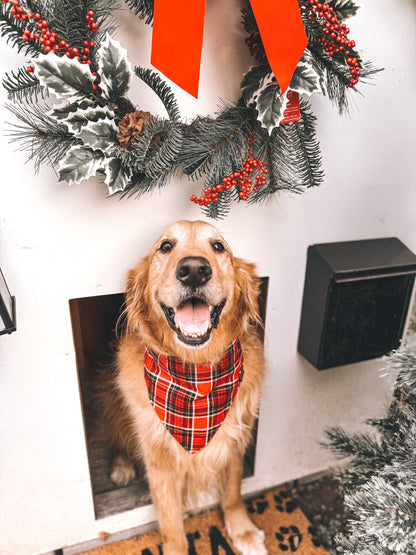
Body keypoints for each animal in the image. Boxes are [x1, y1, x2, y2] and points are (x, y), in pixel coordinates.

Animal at [102, 222, 264, 555]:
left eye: (218, 246)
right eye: (165, 246)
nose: (193, 270)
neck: (197, 375)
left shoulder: (236, 439)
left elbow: (232, 492)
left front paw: (242, 531)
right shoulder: (160, 459)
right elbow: (171, 521)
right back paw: (122, 466)